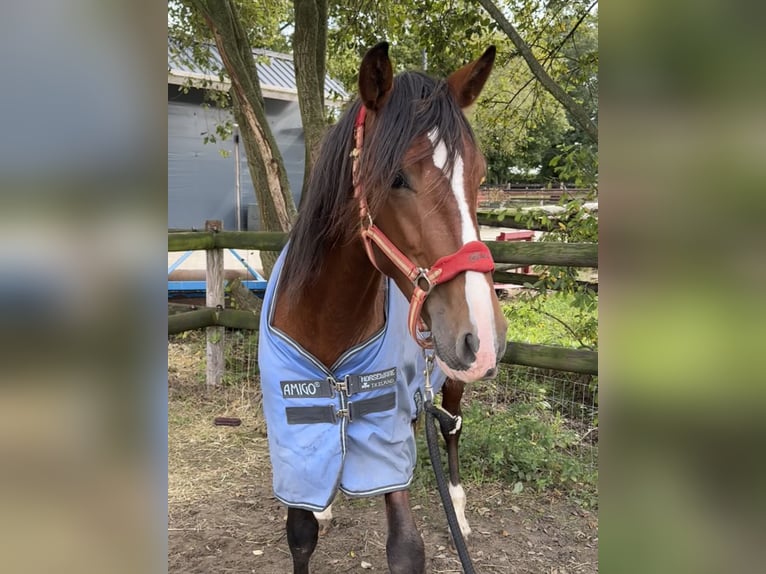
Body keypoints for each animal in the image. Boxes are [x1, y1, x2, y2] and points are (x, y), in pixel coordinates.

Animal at [260, 41, 510, 574]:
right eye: (397, 178)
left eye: (479, 176)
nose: (483, 336)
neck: (327, 325)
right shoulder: (294, 435)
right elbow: (300, 534)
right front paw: (319, 511)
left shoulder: (384, 437)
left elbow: (406, 549)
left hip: (452, 379)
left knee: (452, 428)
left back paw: (458, 507)